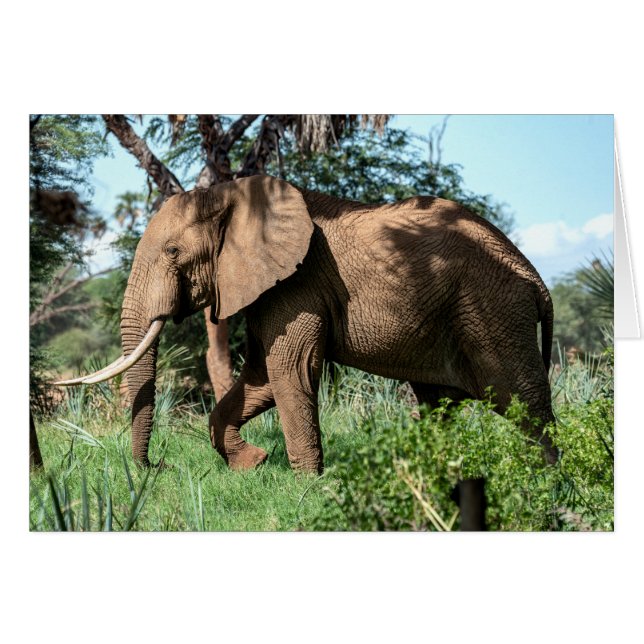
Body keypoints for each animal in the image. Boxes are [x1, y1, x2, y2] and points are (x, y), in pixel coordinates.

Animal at [56, 175, 557, 471]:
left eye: (173, 252)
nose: (155, 468)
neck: (233, 193)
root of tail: (536, 278)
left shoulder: (298, 283)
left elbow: (290, 369)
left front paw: (309, 485)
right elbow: (260, 377)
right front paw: (253, 463)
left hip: (493, 310)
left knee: (523, 401)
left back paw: (547, 483)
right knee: (441, 403)